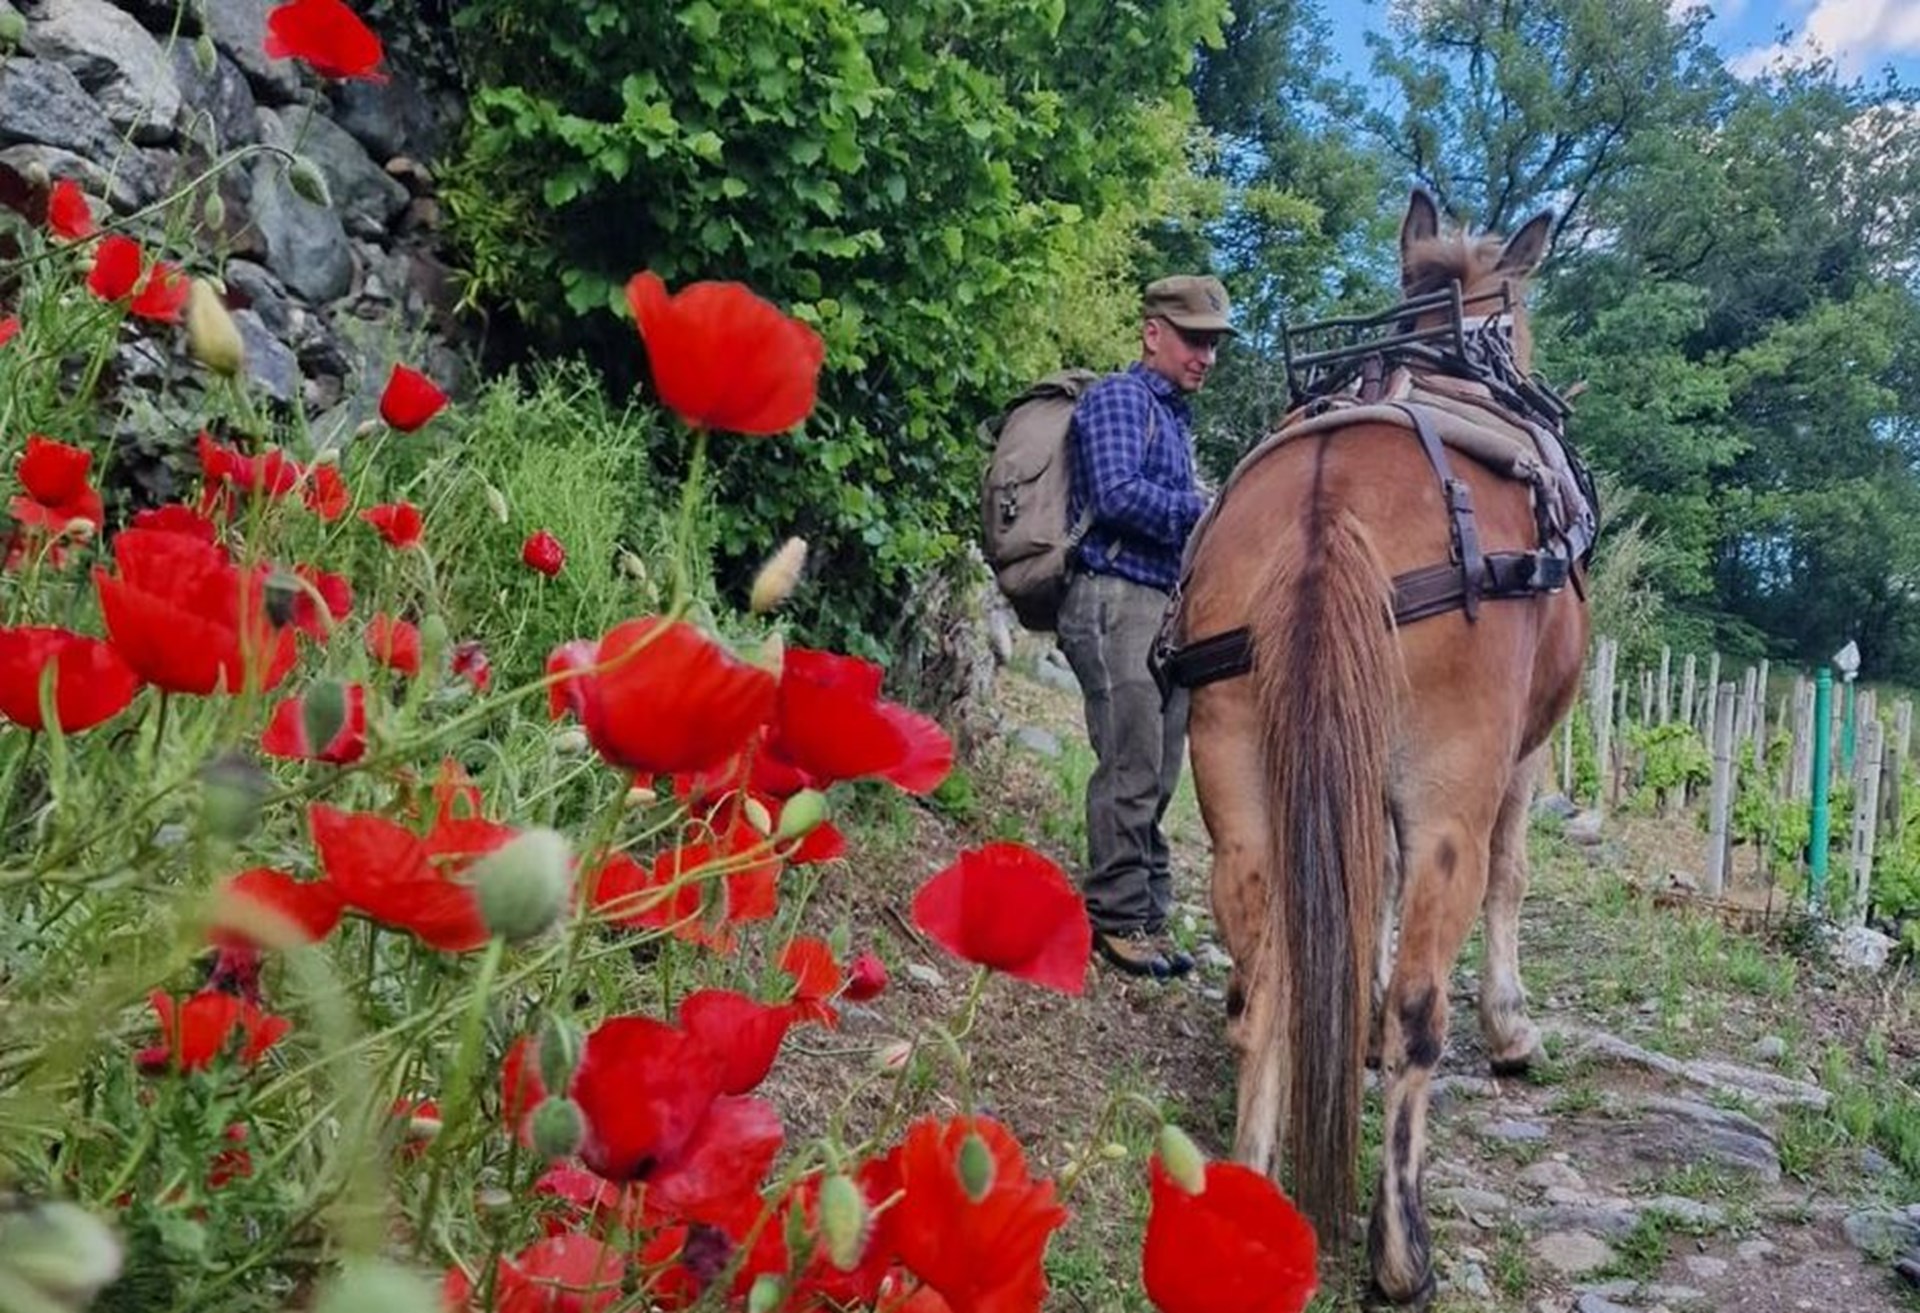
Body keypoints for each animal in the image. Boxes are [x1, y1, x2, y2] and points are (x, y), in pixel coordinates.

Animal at [1171, 189, 1591, 1306]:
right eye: (1523, 316)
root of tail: (1327, 504)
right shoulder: (1520, 761)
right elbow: (1511, 876)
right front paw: (1512, 1028)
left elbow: (1367, 896)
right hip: (1450, 796)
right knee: (1417, 1010)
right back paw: (1402, 1249)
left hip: (1242, 785)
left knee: (1268, 981)